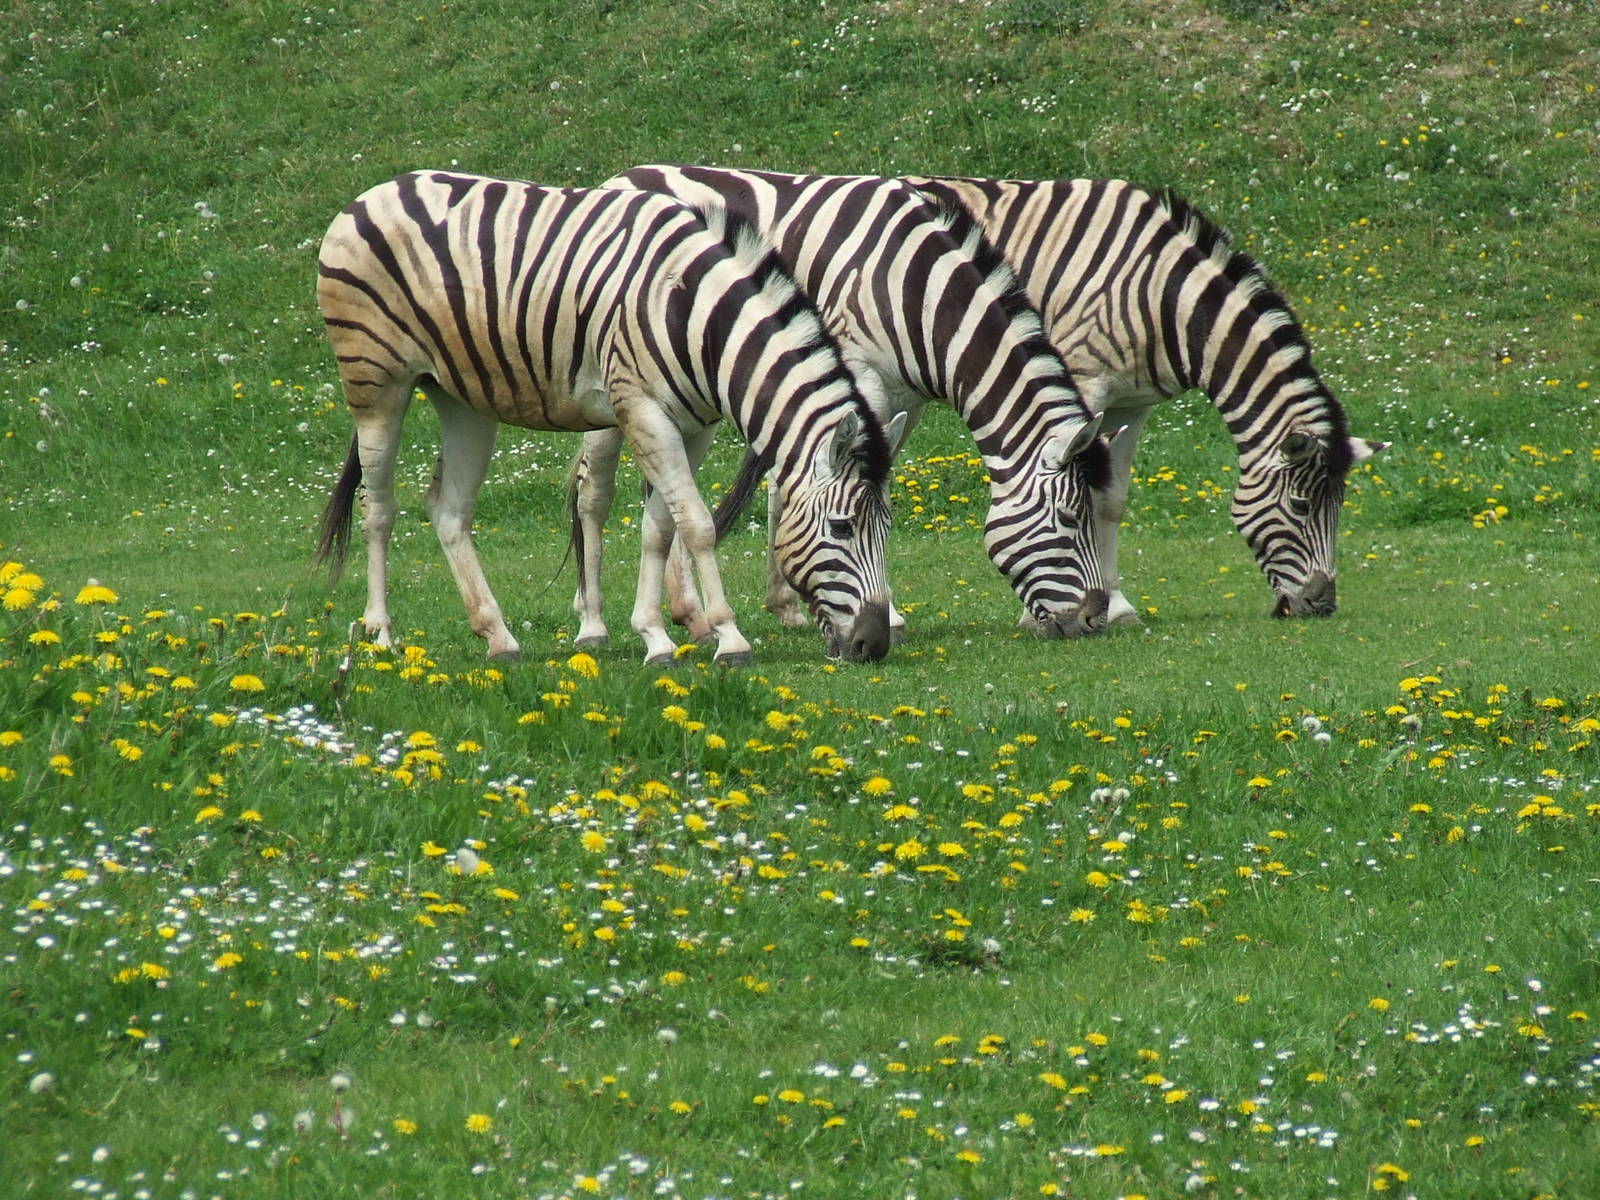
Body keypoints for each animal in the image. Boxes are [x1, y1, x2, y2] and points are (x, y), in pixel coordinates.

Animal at [313, 169, 900, 667]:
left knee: (449, 509)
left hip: (462, 398)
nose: (874, 645)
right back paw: (382, 634)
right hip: (375, 381)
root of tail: (376, 190)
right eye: (842, 527)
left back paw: (499, 637)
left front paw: (656, 636)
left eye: (888, 528)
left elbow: (661, 527)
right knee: (378, 507)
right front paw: (729, 638)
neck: (699, 318)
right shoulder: (642, 410)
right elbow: (698, 524)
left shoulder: (694, 427)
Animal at [570, 166, 1113, 647]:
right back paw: (594, 622)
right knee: (593, 489)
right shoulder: (855, 374)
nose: (1095, 619)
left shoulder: (901, 399)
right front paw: (887, 615)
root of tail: (620, 177)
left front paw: (795, 605)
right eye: (1070, 518)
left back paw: (688, 614)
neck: (915, 290)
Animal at [905, 175, 1389, 623]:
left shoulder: (1132, 403)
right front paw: (1044, 610)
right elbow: (1075, 490)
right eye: (1301, 506)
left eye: (1340, 506)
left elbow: (1111, 500)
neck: (1162, 297)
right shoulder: (1082, 386)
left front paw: (1117, 606)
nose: (1322, 606)